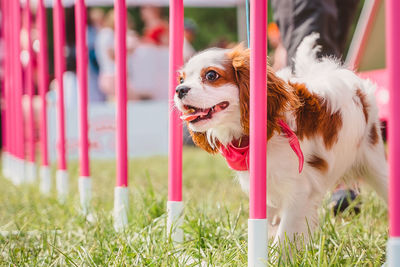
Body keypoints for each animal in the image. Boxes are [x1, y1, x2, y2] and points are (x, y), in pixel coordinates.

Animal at [174, 34, 388, 249]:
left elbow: (284, 236)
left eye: (211, 75)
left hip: (376, 165)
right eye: (182, 79)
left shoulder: (299, 192)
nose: (179, 90)